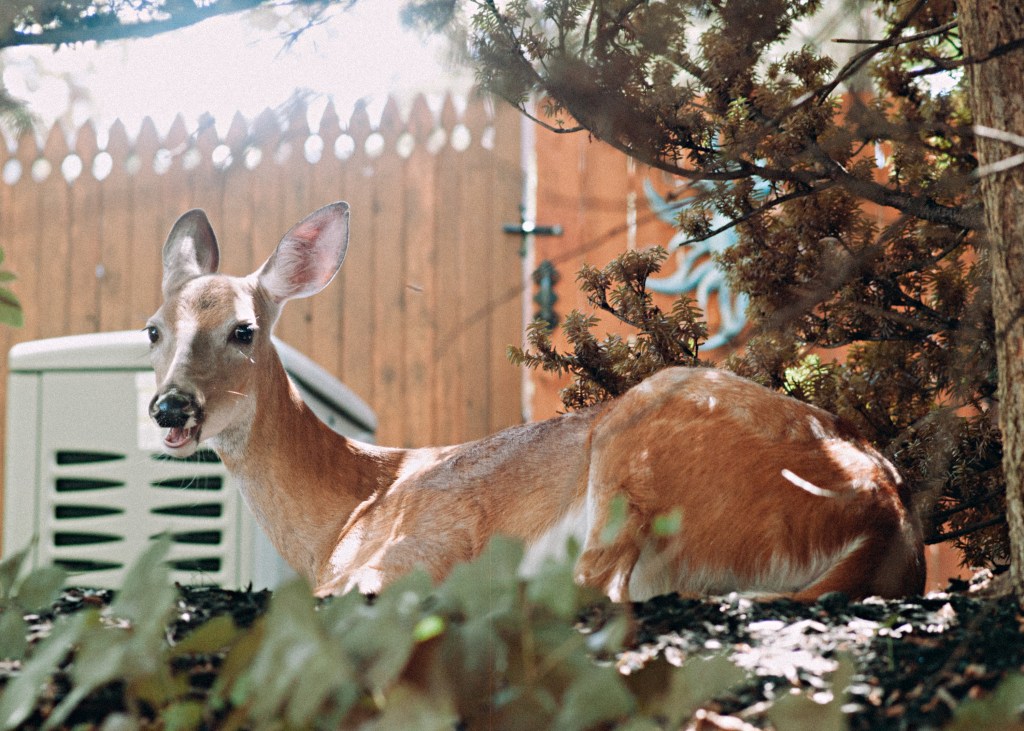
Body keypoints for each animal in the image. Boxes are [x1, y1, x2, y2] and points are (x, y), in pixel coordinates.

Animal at [147, 201, 925, 602]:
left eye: (244, 329)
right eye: (154, 327)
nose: (169, 408)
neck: (350, 510)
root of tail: (884, 510)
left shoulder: (424, 544)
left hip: (637, 457)